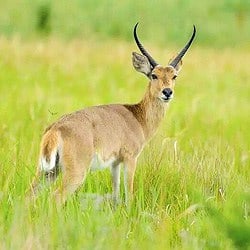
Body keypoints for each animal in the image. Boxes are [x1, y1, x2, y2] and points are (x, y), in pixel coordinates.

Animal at [29, 23, 196, 206]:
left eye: (174, 76)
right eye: (154, 75)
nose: (167, 92)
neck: (137, 117)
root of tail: (55, 129)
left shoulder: (115, 163)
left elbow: (116, 193)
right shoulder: (130, 158)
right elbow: (129, 193)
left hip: (48, 171)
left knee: (29, 195)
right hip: (74, 173)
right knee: (56, 198)